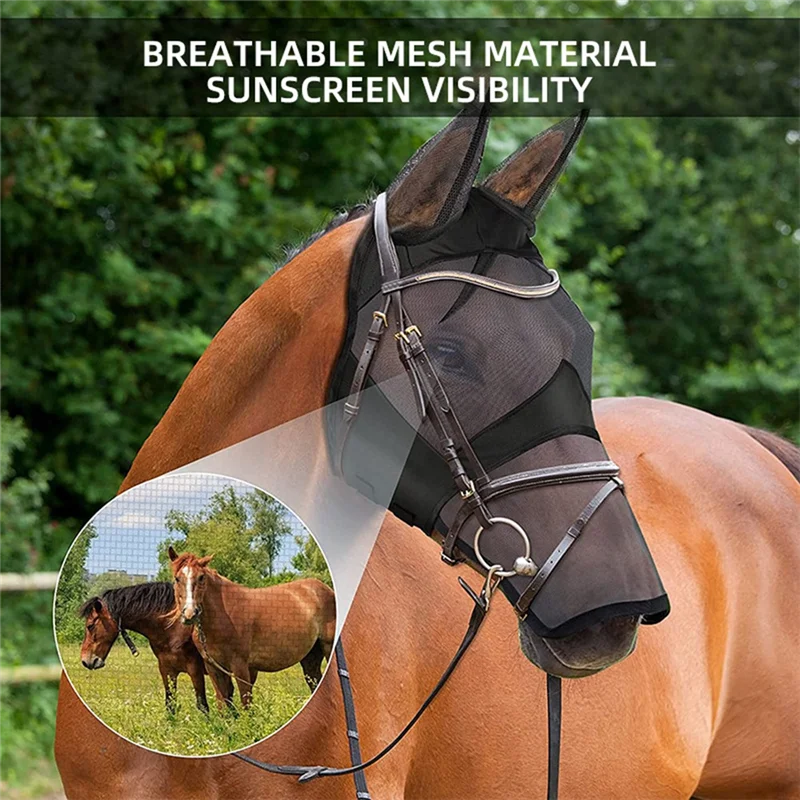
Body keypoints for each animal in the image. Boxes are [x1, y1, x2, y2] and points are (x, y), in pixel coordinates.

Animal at [77, 581, 209, 714]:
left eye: (90, 626)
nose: (85, 661)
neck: (175, 629)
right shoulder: (167, 670)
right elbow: (170, 705)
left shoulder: (195, 669)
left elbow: (203, 706)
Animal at [167, 547, 336, 708]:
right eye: (177, 578)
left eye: (201, 577)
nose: (190, 614)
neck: (223, 616)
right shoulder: (214, 668)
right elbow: (223, 705)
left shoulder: (240, 666)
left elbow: (246, 703)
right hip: (310, 656)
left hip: (327, 647)